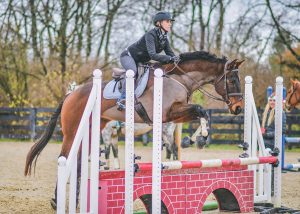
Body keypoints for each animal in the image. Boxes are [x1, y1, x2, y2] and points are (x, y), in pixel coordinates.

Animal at [23, 50, 244, 209]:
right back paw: (56, 201)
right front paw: (200, 138)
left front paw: (197, 139)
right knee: (65, 158)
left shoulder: (176, 114)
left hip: (90, 130)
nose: (238, 108)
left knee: (76, 161)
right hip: (74, 131)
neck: (179, 79)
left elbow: (202, 113)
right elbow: (200, 110)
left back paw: (73, 200)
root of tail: (70, 94)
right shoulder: (168, 113)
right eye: (232, 81)